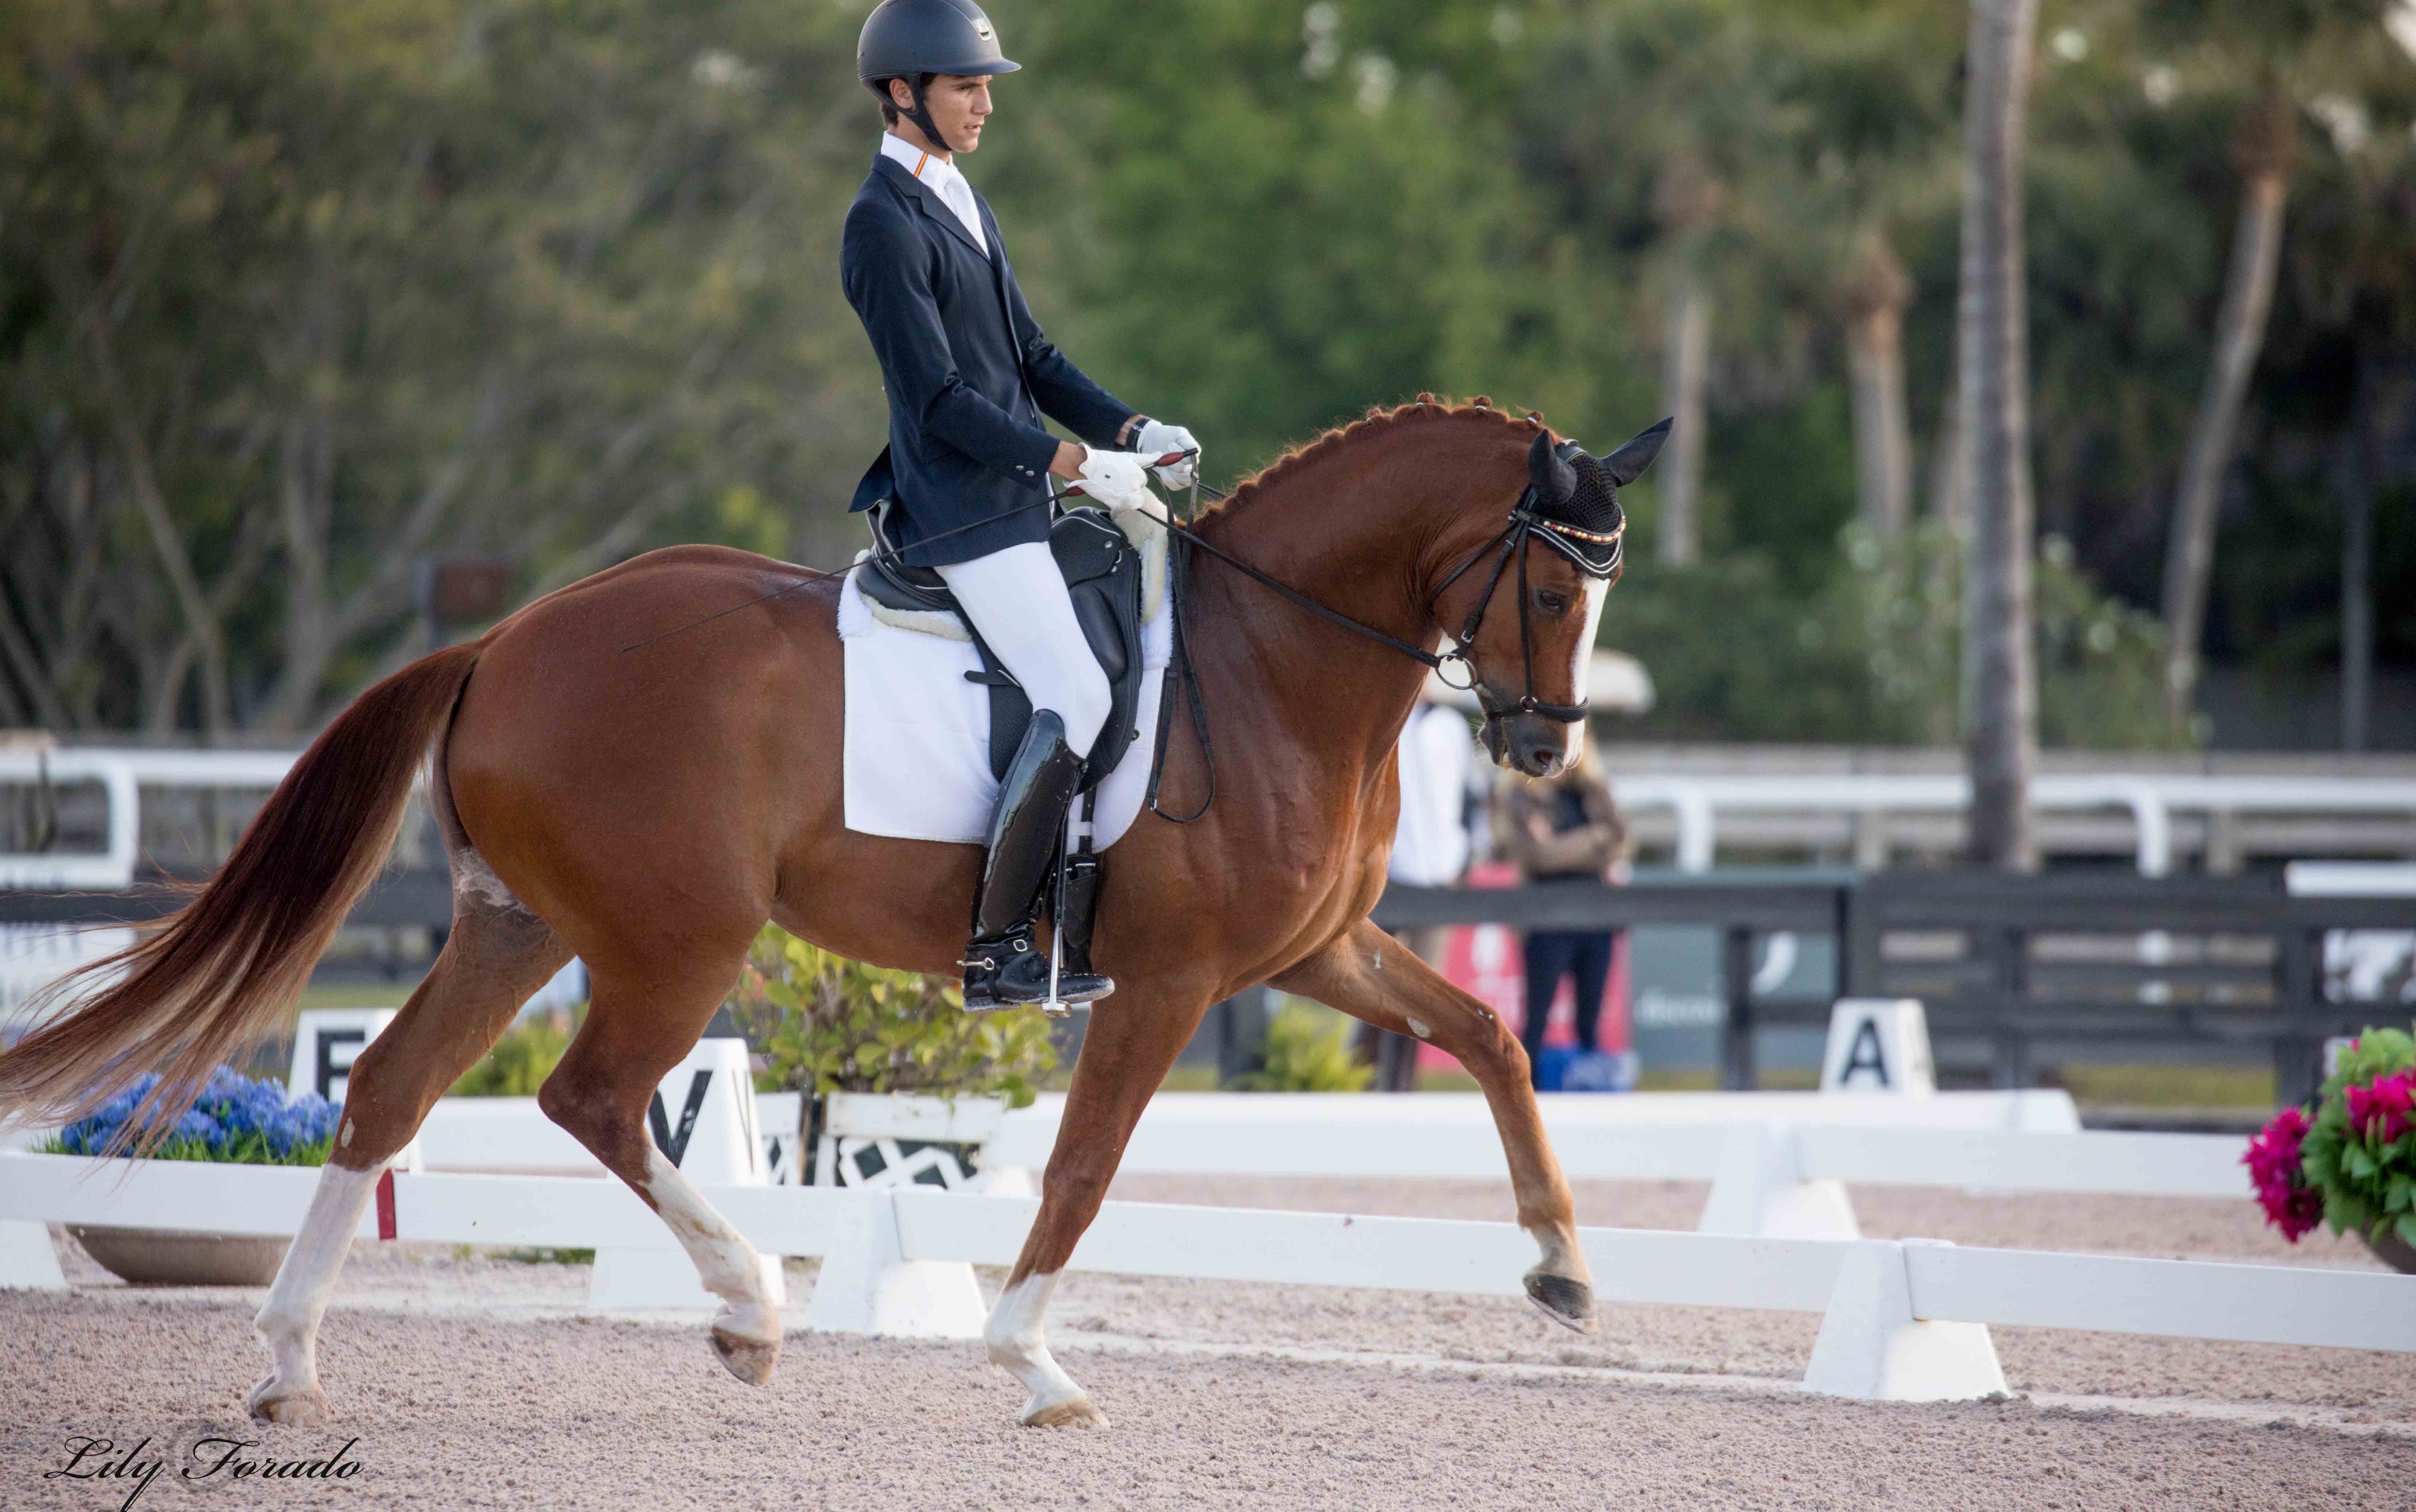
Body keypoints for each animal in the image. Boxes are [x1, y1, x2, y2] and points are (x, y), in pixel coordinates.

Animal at [0, 394, 1643, 1420]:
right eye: (1557, 590)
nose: (1544, 749)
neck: (1266, 663)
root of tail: (505, 639)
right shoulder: (1171, 981)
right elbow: (1082, 1168)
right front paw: (1028, 1363)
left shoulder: (1313, 952)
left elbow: (1489, 1035)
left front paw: (1562, 1268)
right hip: (676, 936)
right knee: (597, 1096)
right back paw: (748, 1312)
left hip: (518, 924)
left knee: (394, 1087)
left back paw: (289, 1362)